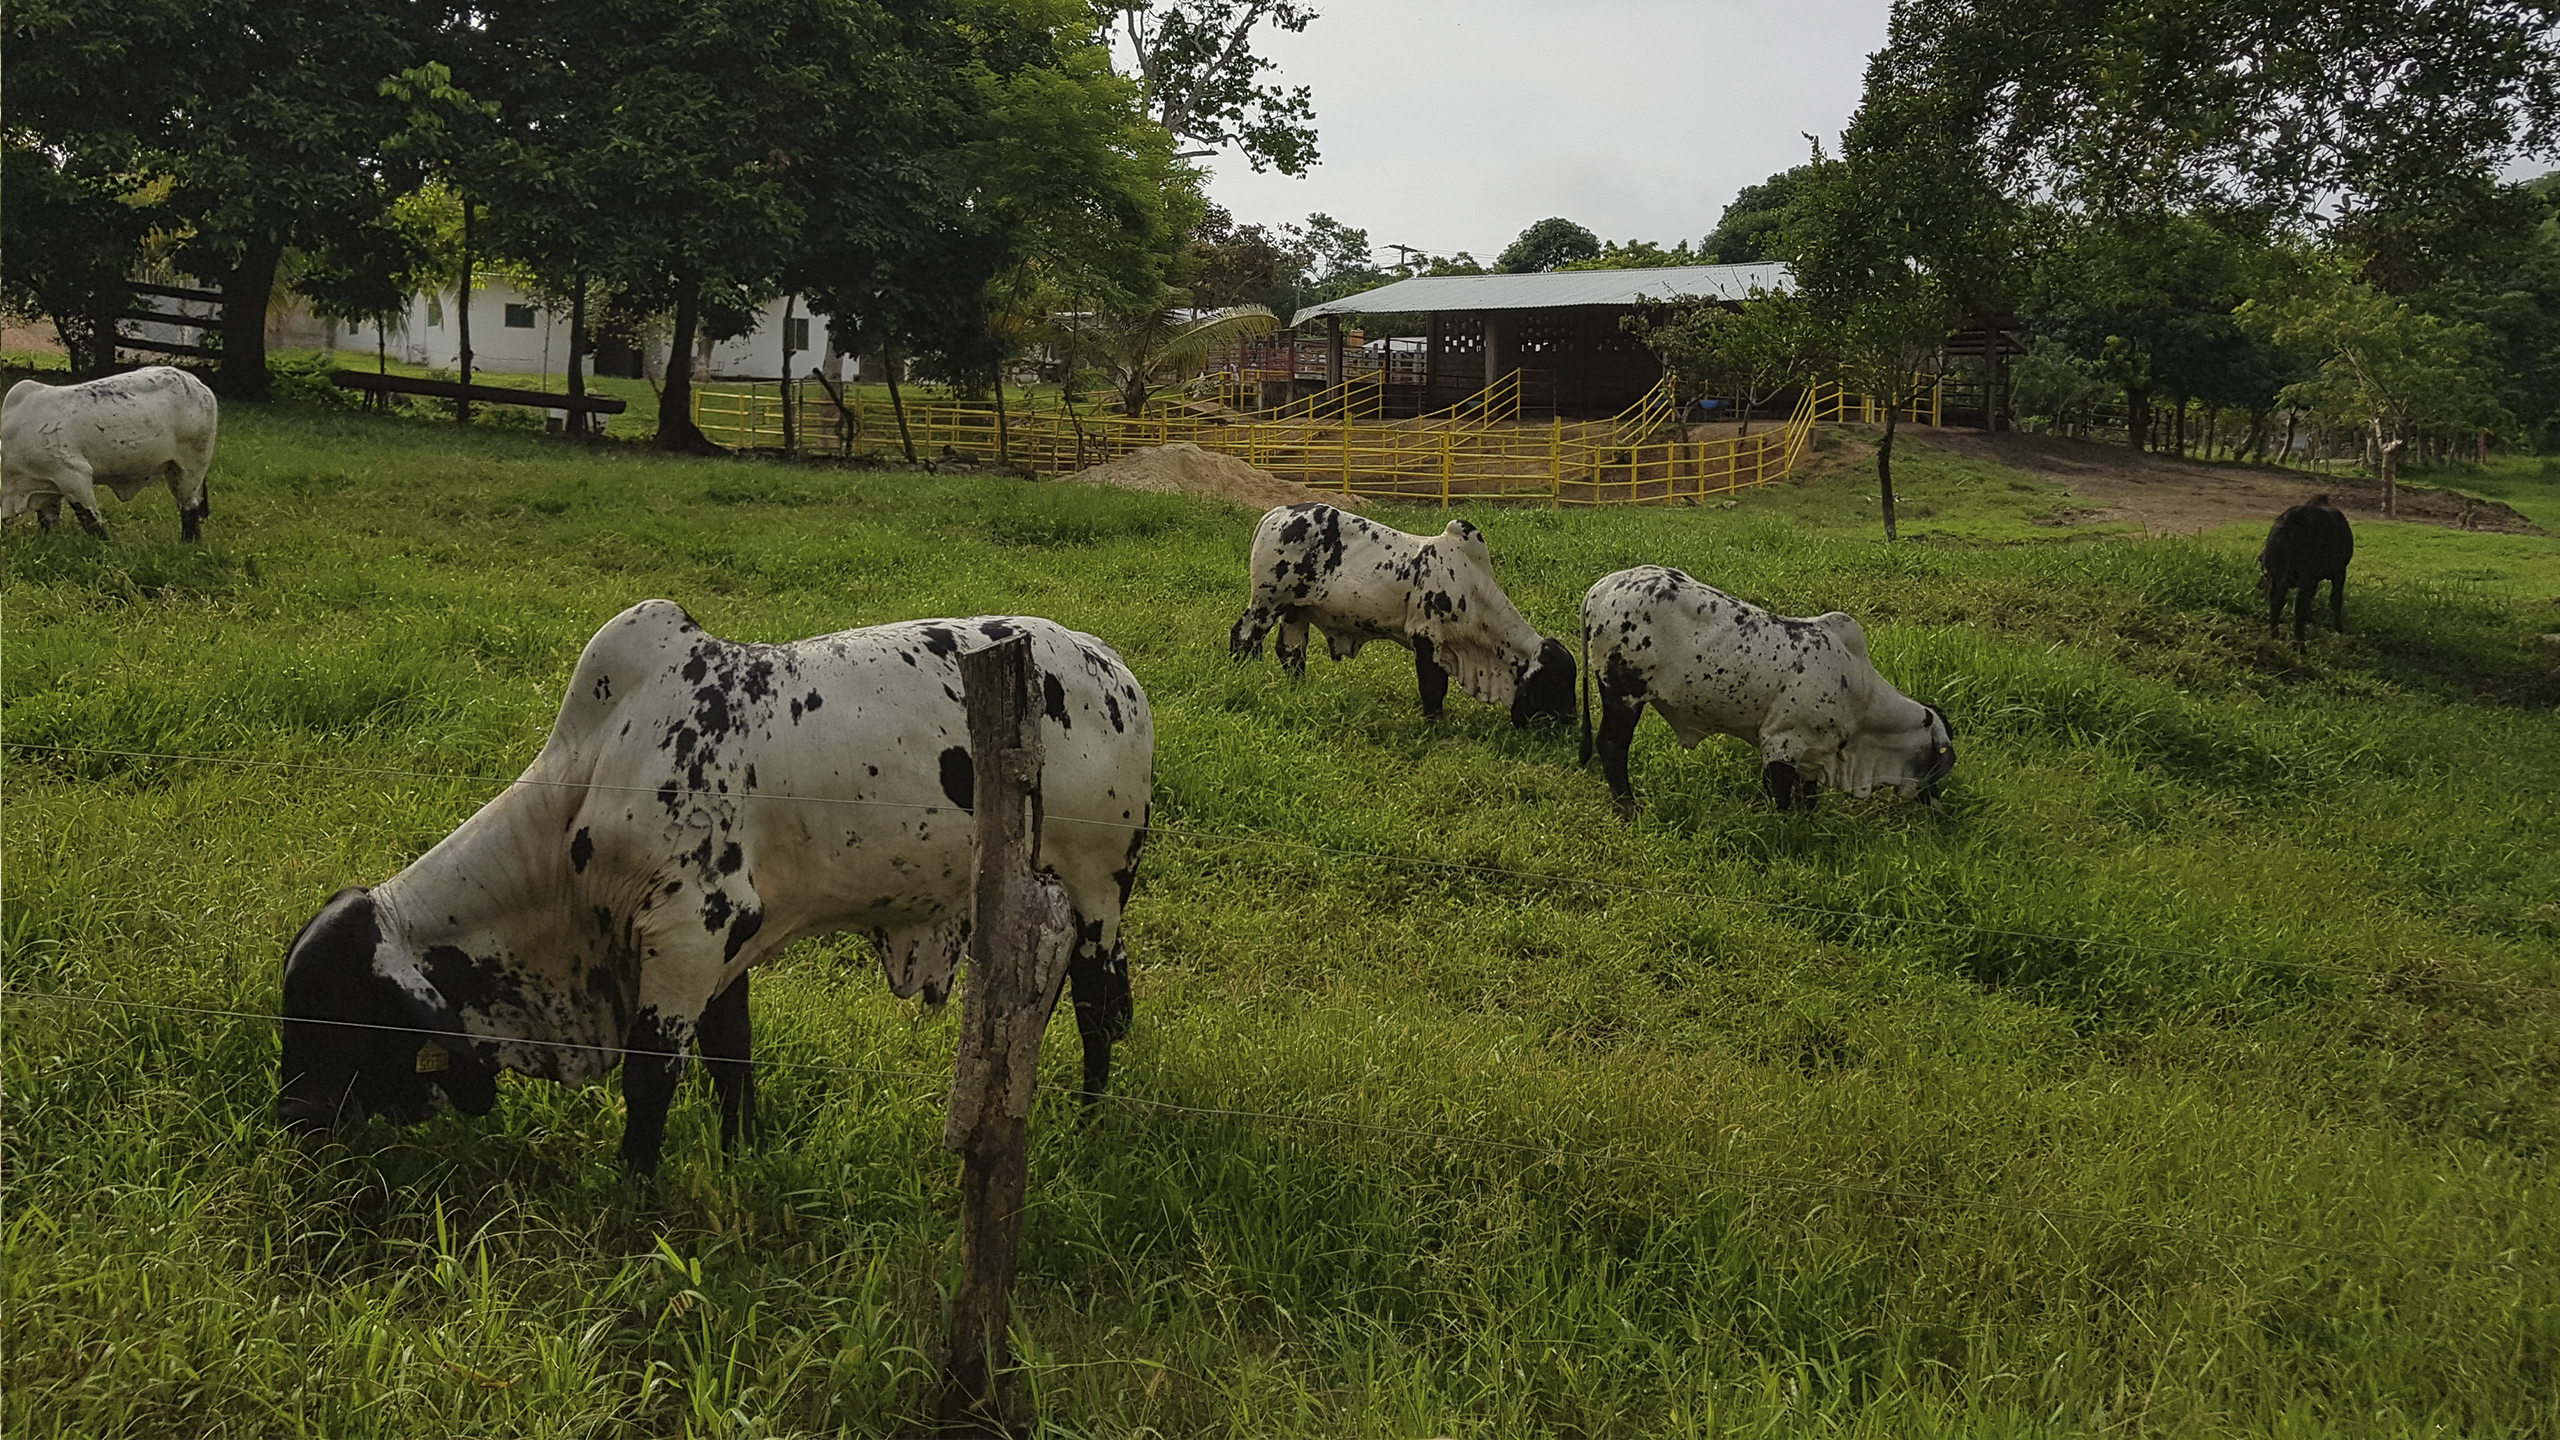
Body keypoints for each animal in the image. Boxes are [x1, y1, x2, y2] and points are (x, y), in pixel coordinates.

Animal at [1, 366, 218, 540]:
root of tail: (199, 384)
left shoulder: (73, 475)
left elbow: (91, 521)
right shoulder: (47, 489)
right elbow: (49, 521)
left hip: (190, 467)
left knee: (189, 507)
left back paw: (189, 543)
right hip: (174, 469)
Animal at [277, 601, 1154, 1176]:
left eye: (333, 1010)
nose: (292, 1116)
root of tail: (1109, 663)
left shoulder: (688, 934)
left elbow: (650, 1080)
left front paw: (633, 1193)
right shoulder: (724, 950)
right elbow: (731, 1059)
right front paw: (741, 1158)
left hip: (1097, 889)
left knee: (1098, 1007)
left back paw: (1089, 1124)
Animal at [1228, 502, 1576, 726]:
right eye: (1557, 681)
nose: (1572, 719)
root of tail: (1278, 513)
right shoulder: (1426, 635)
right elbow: (1433, 689)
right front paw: (1436, 726)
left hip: (1295, 611)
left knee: (1291, 652)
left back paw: (1299, 690)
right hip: (1266, 602)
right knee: (1243, 637)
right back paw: (1241, 676)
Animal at [1580, 566, 1953, 820]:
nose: (1938, 803)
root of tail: (1601, 587)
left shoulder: (1811, 753)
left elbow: (1808, 797)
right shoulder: (1780, 743)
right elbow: (1783, 798)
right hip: (1622, 695)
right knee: (1611, 746)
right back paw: (1629, 808)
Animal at [2260, 496, 2353, 645]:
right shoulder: (2339, 572)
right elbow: (2336, 599)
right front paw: (2339, 629)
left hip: (2280, 575)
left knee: (2276, 601)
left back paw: (2275, 635)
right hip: (2308, 577)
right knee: (2300, 607)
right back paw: (2300, 644)